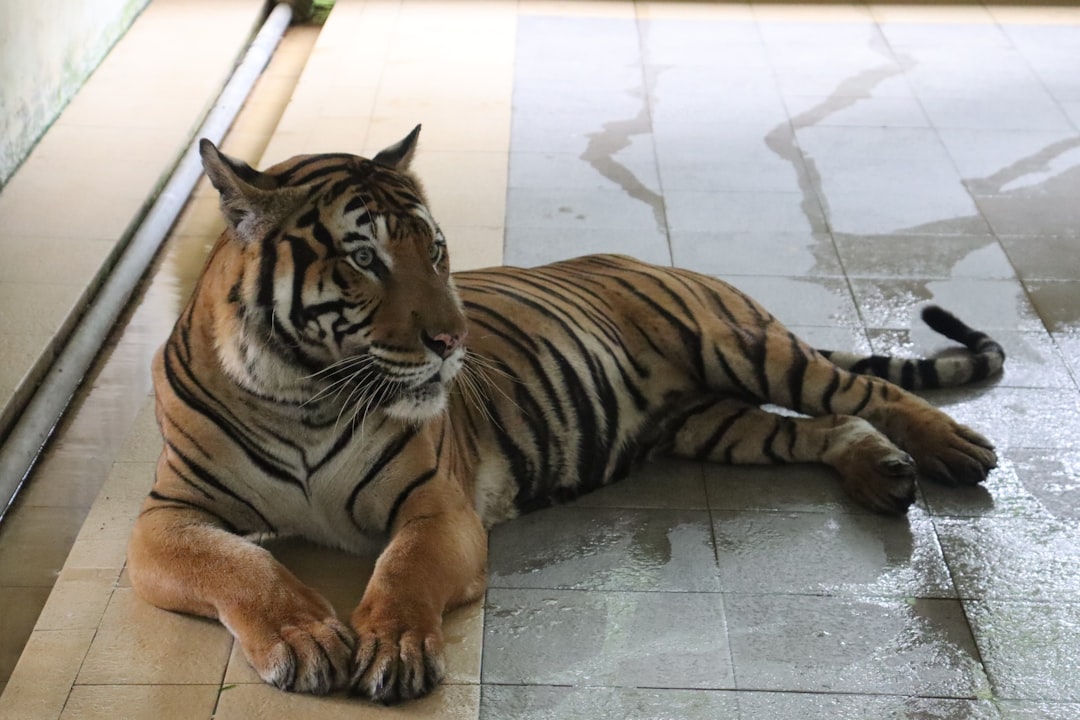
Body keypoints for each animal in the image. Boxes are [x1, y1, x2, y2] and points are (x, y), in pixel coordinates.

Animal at [127, 125, 1004, 705]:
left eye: (435, 249)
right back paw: (882, 472)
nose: (453, 340)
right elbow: (238, 565)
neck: (305, 395)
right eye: (363, 257)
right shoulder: (167, 515)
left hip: (743, 346)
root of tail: (651, 259)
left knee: (866, 391)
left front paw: (394, 645)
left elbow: (403, 568)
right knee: (823, 428)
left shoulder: (435, 505)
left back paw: (954, 449)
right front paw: (304, 636)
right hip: (717, 425)